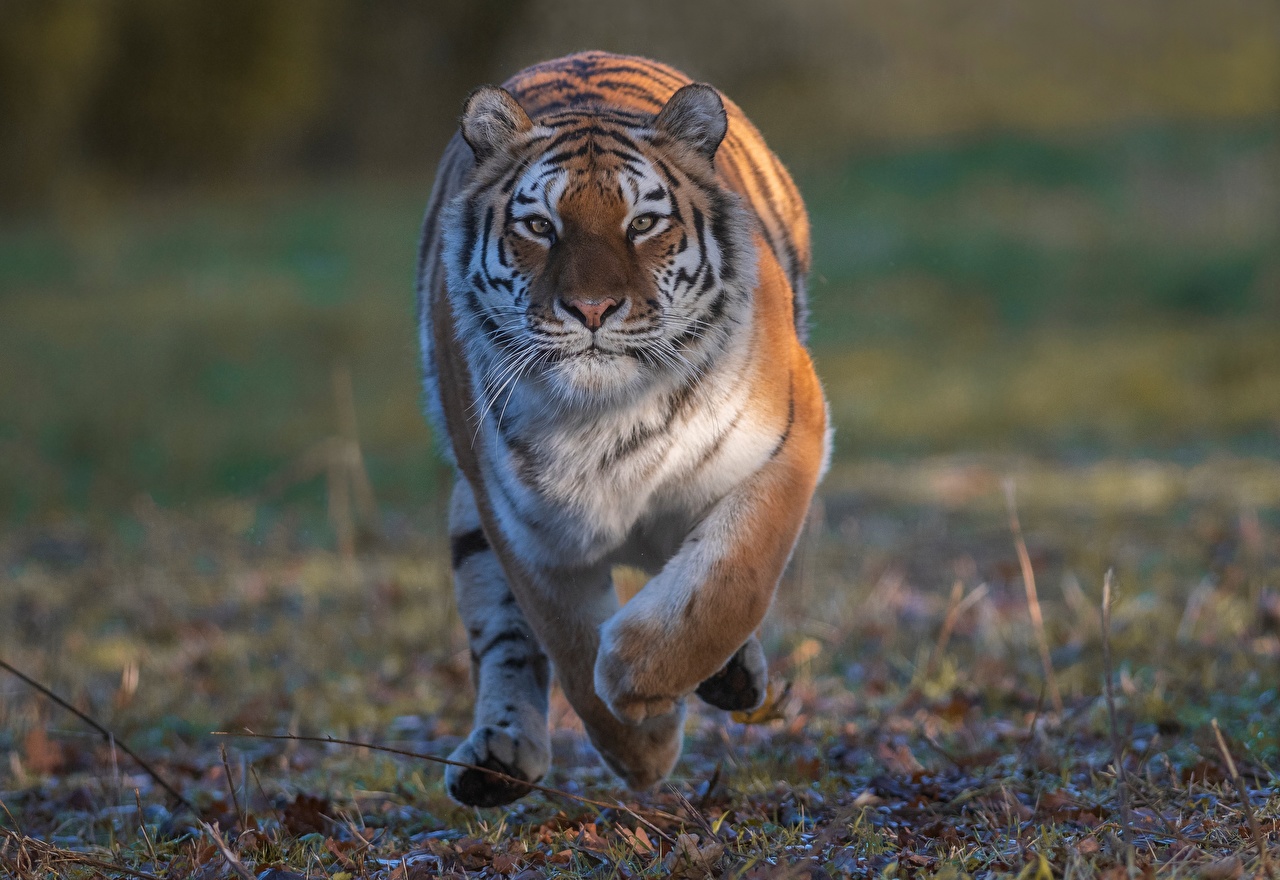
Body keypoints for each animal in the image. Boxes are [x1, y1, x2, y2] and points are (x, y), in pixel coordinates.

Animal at [414, 47, 824, 803]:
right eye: (539, 227)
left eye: (641, 225)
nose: (592, 309)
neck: (607, 414)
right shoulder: (524, 525)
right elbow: (571, 648)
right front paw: (643, 748)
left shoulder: (789, 435)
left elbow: (729, 577)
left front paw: (638, 682)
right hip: (471, 517)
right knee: (503, 639)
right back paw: (497, 760)